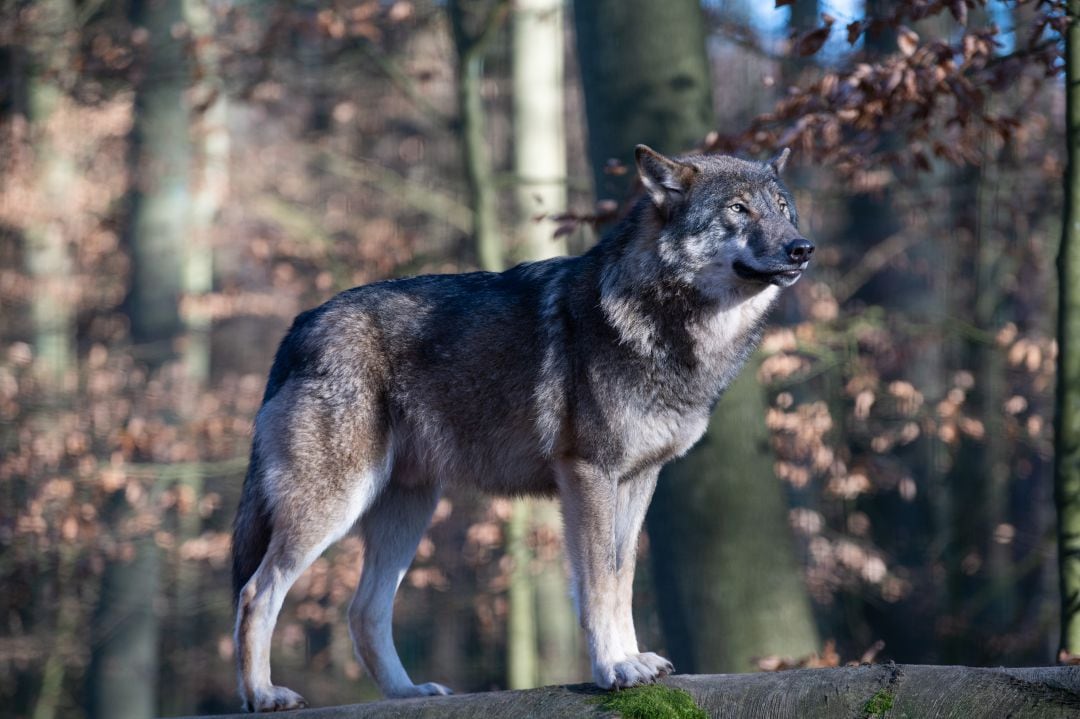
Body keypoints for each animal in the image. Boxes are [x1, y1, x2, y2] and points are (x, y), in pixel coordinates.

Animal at [232, 142, 812, 708]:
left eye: (782, 208)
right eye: (737, 209)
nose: (802, 248)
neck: (661, 320)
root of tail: (301, 324)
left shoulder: (638, 479)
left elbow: (620, 578)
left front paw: (634, 661)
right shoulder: (587, 476)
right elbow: (598, 583)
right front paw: (614, 667)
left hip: (407, 511)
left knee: (363, 611)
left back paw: (406, 693)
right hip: (334, 505)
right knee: (255, 593)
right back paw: (263, 695)